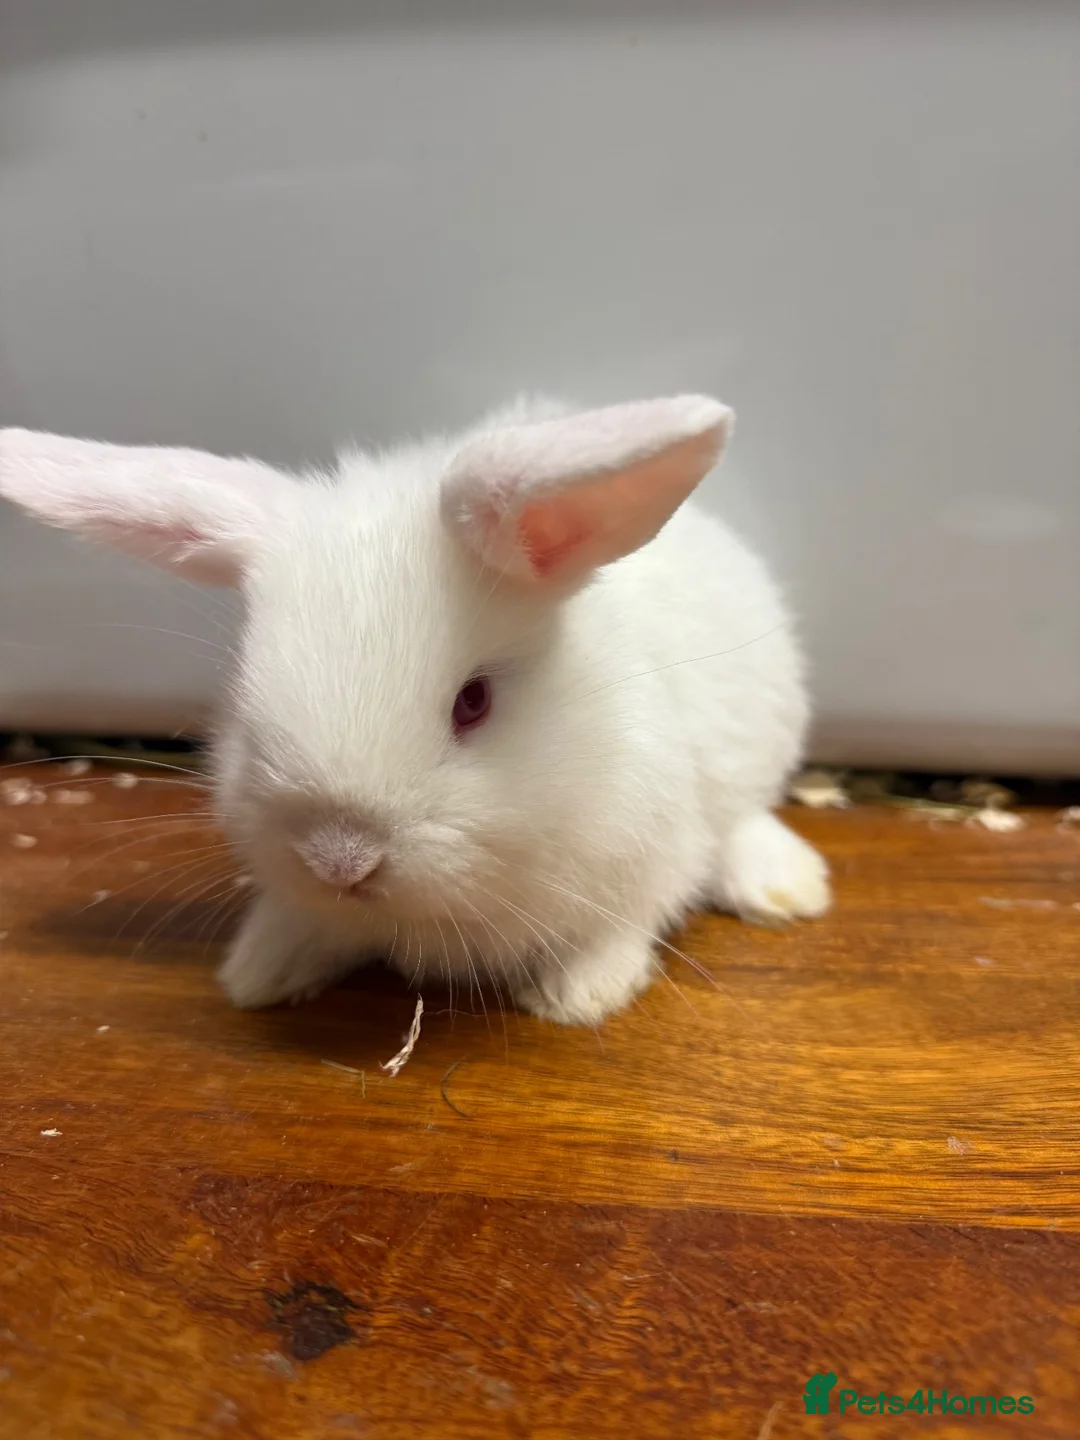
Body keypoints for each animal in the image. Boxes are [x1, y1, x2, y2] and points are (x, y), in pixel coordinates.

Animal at [0, 394, 830, 1024]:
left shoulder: (651, 857)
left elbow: (620, 930)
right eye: (243, 692)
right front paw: (258, 975)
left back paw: (787, 891)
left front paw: (575, 999)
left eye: (474, 702)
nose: (341, 862)